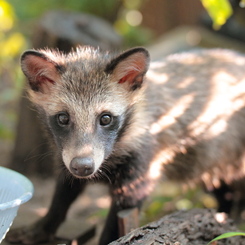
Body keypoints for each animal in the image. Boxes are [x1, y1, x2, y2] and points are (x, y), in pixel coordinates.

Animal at [6, 45, 245, 243]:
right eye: (63, 118)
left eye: (105, 118)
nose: (83, 167)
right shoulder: (66, 154)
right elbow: (64, 191)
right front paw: (44, 225)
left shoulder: (142, 165)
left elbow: (119, 217)